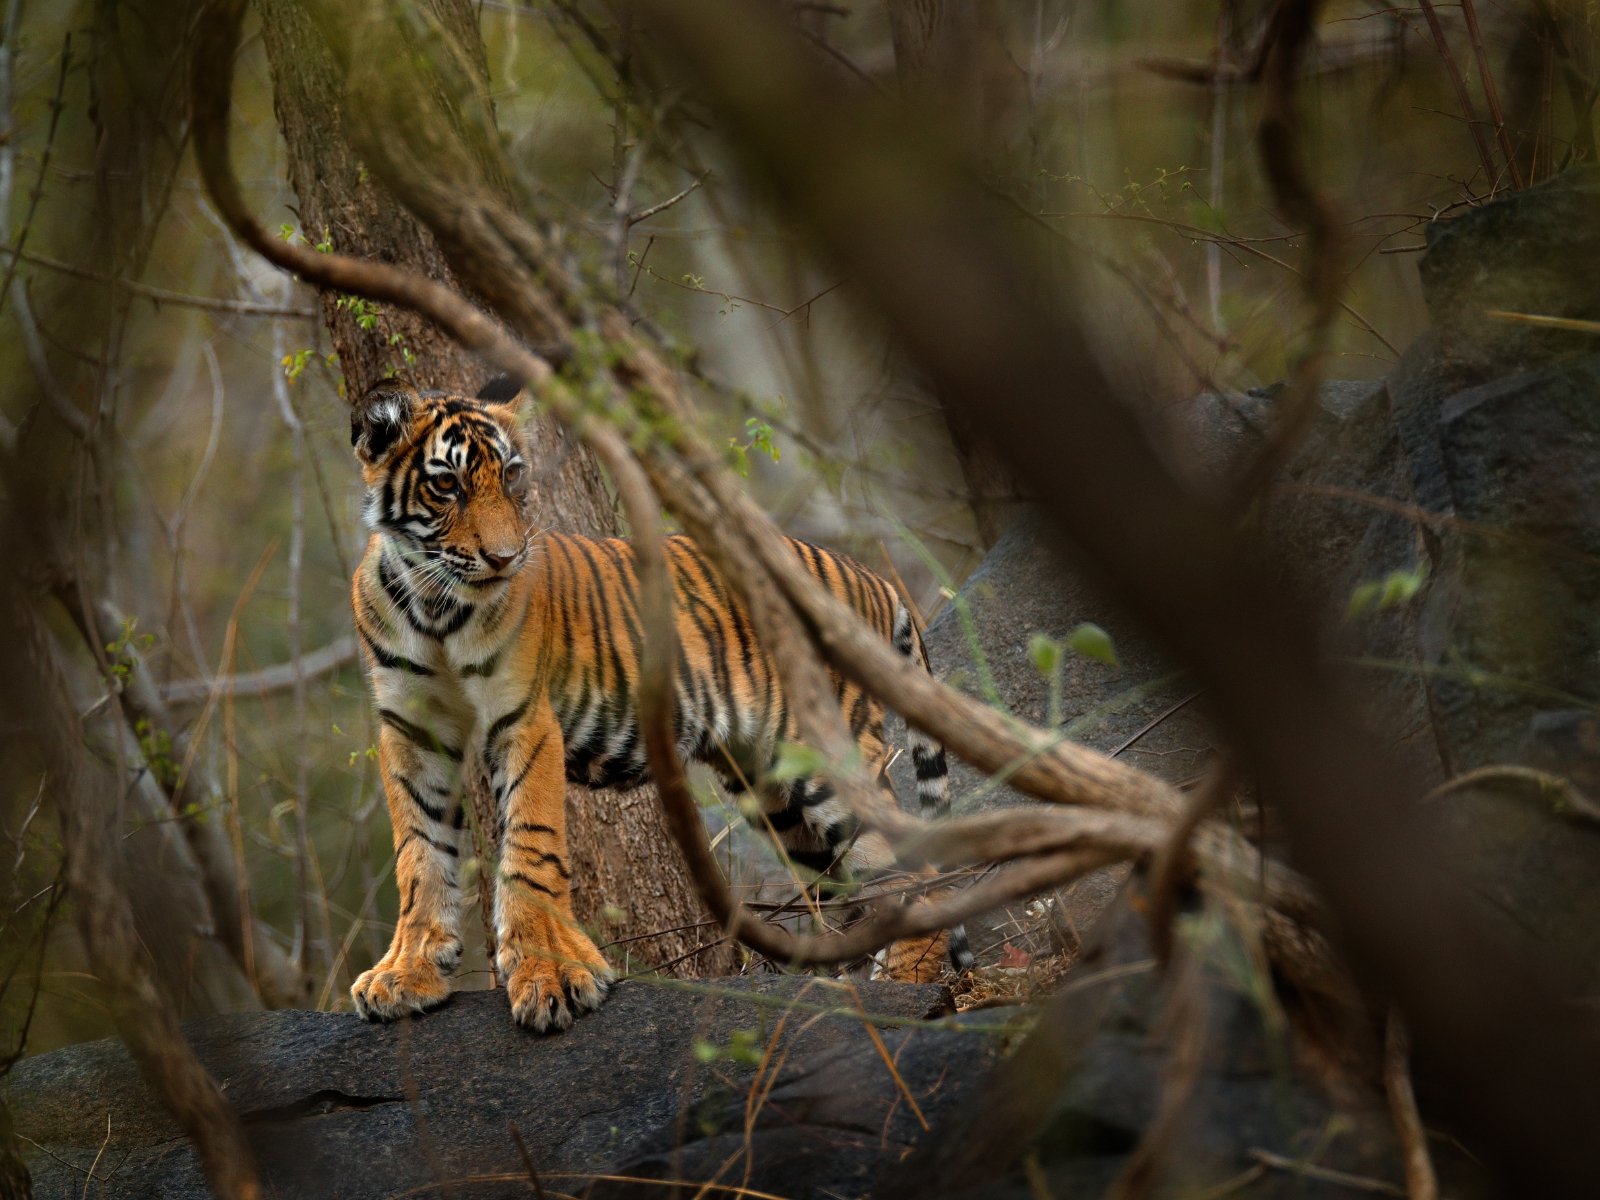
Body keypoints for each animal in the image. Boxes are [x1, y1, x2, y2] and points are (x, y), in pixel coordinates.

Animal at [347, 377, 972, 1032]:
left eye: (512, 477)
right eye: (447, 485)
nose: (505, 557)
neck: (434, 607)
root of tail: (874, 577)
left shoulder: (523, 717)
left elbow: (529, 844)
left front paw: (551, 976)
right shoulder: (411, 728)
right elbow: (419, 852)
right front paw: (408, 972)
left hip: (827, 756)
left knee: (921, 874)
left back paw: (903, 989)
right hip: (773, 792)